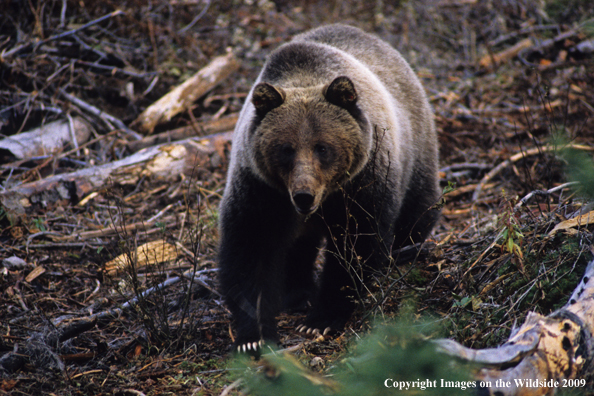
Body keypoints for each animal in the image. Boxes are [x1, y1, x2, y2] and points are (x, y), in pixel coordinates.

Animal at [217, 24, 440, 352]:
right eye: (285, 149)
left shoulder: (361, 185)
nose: (303, 196)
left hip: (414, 152)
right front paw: (254, 336)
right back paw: (297, 292)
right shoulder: (261, 190)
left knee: (416, 211)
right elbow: (251, 248)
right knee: (297, 247)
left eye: (323, 147)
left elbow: (355, 248)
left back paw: (404, 252)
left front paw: (320, 320)